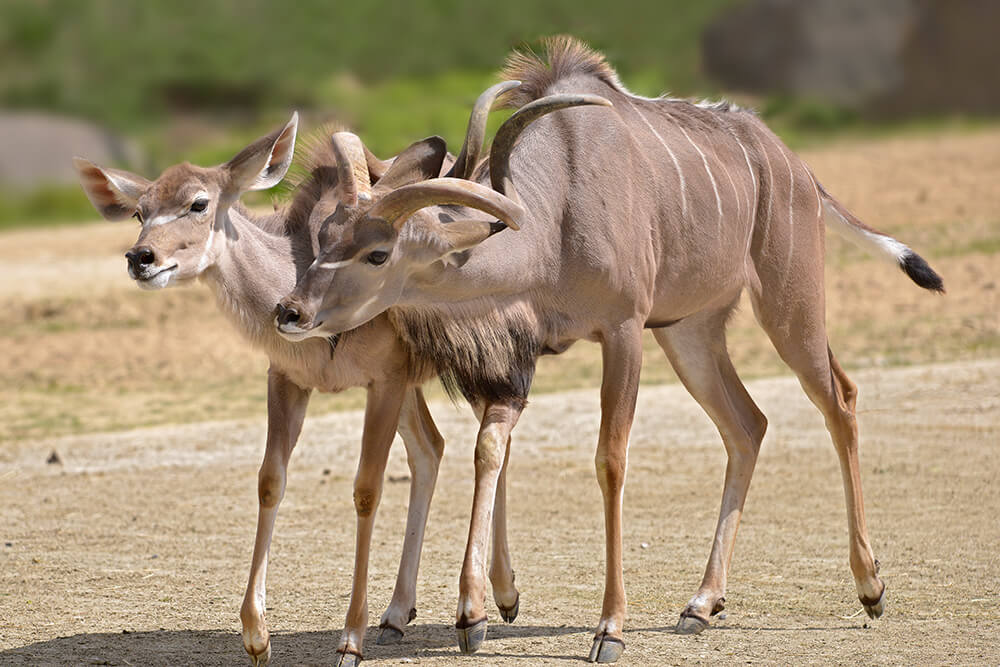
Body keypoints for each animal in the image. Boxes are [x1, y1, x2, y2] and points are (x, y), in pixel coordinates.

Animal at [71, 88, 524, 667]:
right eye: (139, 211)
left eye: (198, 203)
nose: (140, 257)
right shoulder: (288, 380)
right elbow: (271, 481)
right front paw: (256, 635)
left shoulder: (386, 380)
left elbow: (367, 489)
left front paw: (349, 639)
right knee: (438, 447)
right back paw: (403, 613)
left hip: (470, 364)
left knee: (490, 441)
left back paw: (487, 603)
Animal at [278, 36, 940, 664]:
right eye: (327, 233)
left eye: (378, 253)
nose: (290, 312)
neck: (559, 209)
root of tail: (796, 166)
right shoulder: (525, 351)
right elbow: (494, 447)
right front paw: (478, 611)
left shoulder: (622, 332)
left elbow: (609, 460)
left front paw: (608, 628)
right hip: (689, 334)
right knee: (748, 424)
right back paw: (702, 603)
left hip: (787, 307)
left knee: (839, 401)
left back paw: (870, 587)